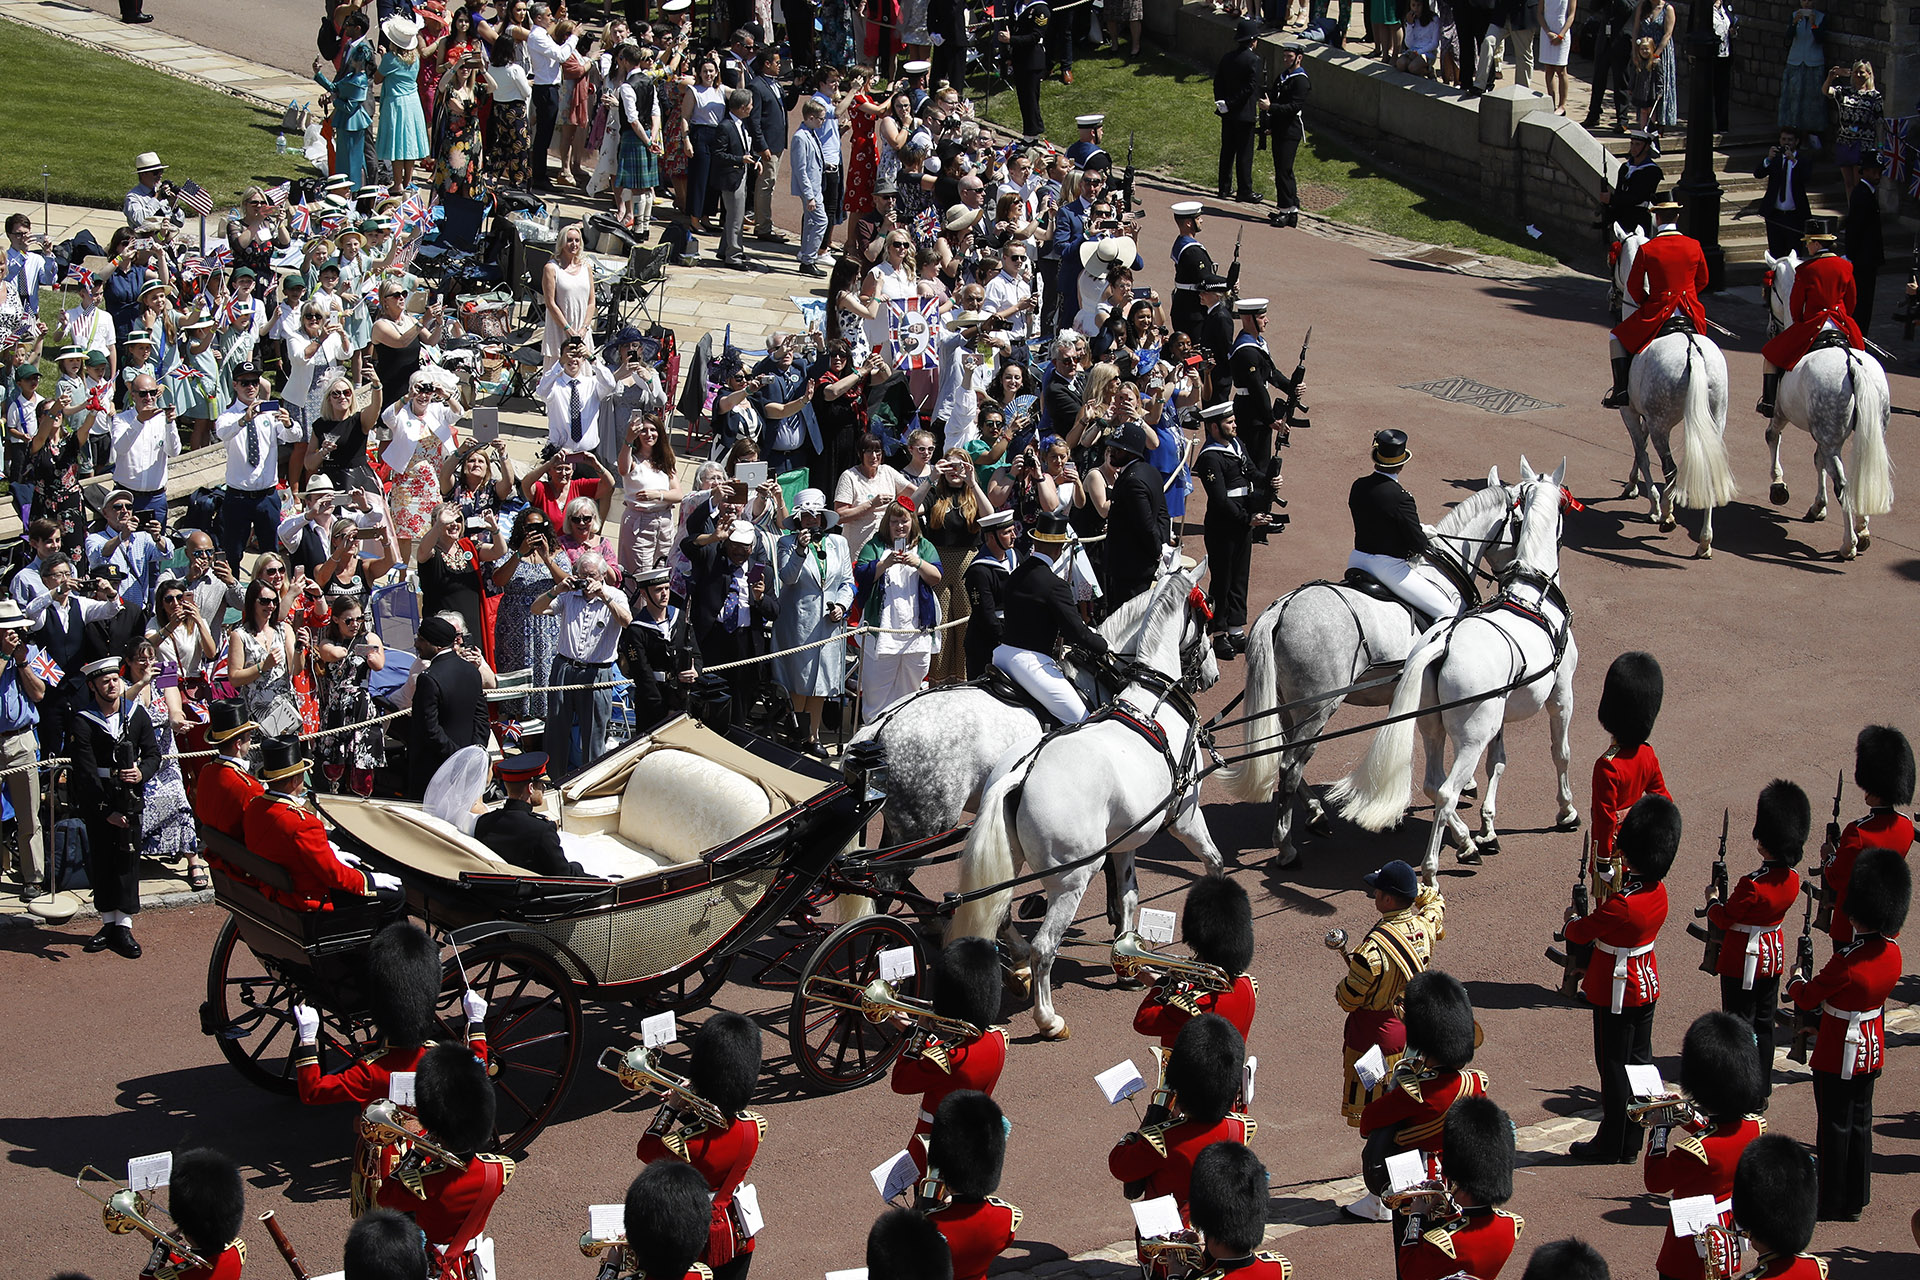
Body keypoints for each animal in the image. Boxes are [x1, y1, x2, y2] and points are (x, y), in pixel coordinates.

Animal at [944, 568, 1228, 1043]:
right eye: (1206, 617)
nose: (1212, 674)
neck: (1153, 702)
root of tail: (1022, 773)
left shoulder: (1127, 841)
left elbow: (1129, 898)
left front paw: (1130, 963)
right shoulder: (1185, 818)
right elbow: (1215, 863)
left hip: (1012, 864)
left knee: (1001, 917)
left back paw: (1017, 969)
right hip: (1073, 879)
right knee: (1044, 947)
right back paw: (1048, 1018)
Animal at [1213, 474, 1528, 871]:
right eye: (1520, 525)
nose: (1516, 578)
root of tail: (1281, 608)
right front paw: (1462, 825)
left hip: (1292, 706)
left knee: (1290, 756)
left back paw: (1316, 814)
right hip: (1319, 708)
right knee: (1290, 766)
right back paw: (1286, 847)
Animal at [1328, 466, 1582, 886]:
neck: (1533, 596)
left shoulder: (1500, 715)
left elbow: (1498, 761)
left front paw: (1488, 827)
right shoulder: (1561, 696)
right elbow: (1560, 753)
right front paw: (1566, 811)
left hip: (1433, 727)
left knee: (1434, 783)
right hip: (1469, 735)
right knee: (1446, 790)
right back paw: (1434, 870)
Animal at [1605, 221, 1743, 560]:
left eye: (1612, 259)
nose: (1612, 297)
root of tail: (1693, 350)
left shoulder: (1629, 411)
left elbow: (1641, 452)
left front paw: (1654, 505)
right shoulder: (1640, 414)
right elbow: (1638, 450)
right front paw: (1632, 486)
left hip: (1662, 425)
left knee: (1670, 467)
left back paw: (1667, 515)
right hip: (1714, 420)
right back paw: (1705, 541)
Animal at [1758, 253, 1896, 556]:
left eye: (1767, 292)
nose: (1770, 328)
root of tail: (1853, 364)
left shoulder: (1782, 414)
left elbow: (1772, 436)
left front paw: (1778, 485)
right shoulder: (1823, 434)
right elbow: (1817, 459)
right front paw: (1818, 506)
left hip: (1830, 435)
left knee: (1842, 483)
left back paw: (1849, 543)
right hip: (1865, 432)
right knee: (1860, 474)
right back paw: (1862, 528)